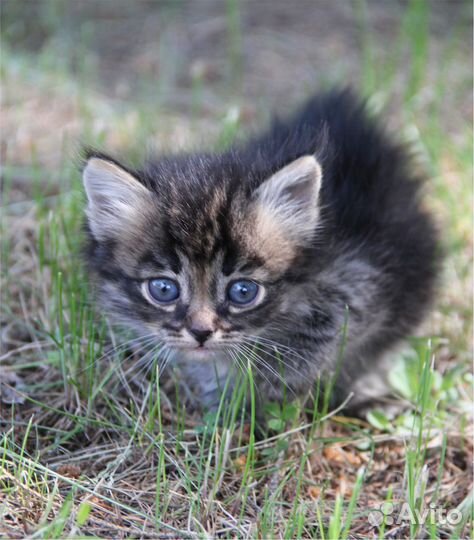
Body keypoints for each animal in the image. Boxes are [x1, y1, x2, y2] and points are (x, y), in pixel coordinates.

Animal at [82, 89, 440, 410]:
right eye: (163, 289)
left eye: (243, 291)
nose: (200, 332)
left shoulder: (361, 277)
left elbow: (329, 342)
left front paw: (266, 389)